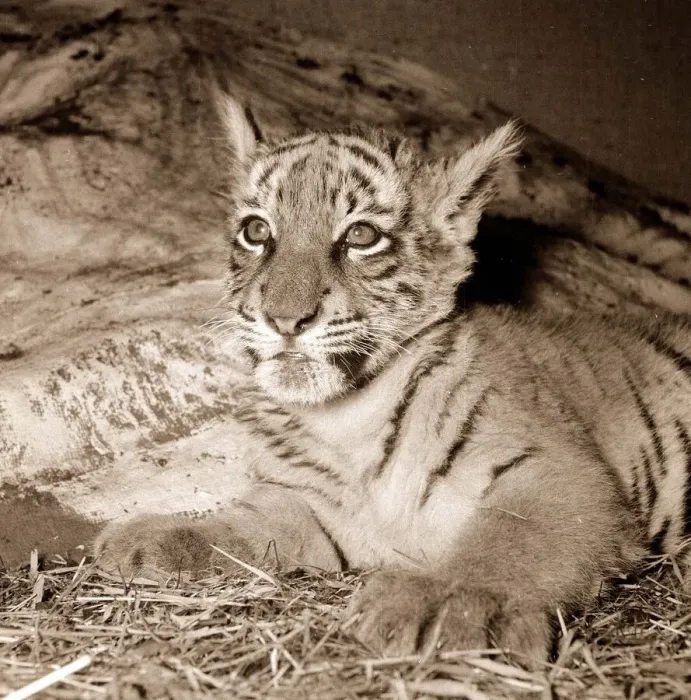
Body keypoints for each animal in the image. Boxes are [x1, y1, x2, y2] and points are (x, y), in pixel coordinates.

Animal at [95, 94, 691, 666]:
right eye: (256, 231)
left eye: (361, 235)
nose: (284, 319)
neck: (346, 420)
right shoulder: (310, 506)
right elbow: (245, 526)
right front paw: (153, 538)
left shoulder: (564, 475)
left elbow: (511, 537)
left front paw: (447, 603)